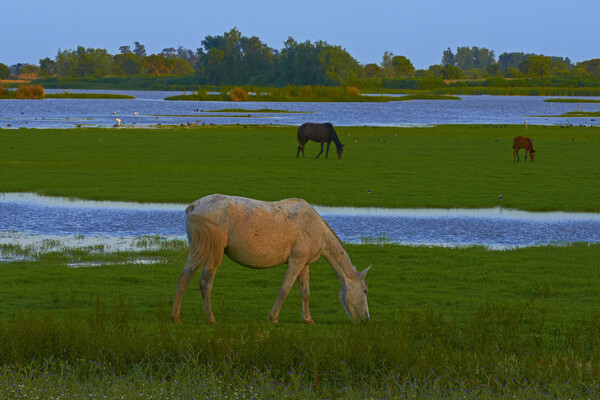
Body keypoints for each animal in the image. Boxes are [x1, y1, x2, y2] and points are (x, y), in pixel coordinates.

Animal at [169, 194, 370, 324]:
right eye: (366, 291)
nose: (366, 320)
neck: (315, 227)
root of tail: (194, 206)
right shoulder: (296, 261)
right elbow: (285, 289)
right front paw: (273, 318)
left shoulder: (304, 264)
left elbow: (305, 292)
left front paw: (308, 319)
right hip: (211, 254)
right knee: (205, 284)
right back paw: (211, 319)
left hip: (198, 250)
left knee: (183, 278)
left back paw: (175, 316)